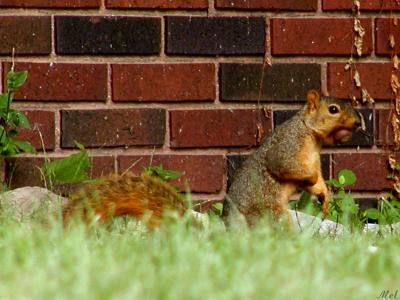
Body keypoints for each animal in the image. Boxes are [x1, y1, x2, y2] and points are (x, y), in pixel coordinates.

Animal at [61, 90, 362, 229]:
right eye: (333, 110)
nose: (359, 123)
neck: (310, 134)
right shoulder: (287, 146)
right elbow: (284, 166)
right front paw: (309, 181)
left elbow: (318, 180)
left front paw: (323, 196)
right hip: (270, 215)